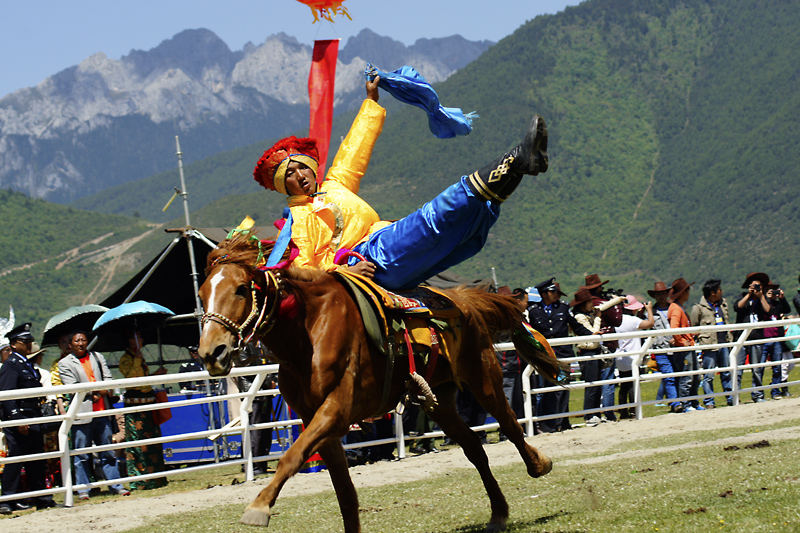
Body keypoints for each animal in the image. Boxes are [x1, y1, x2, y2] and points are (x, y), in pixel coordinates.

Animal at [197, 231, 563, 532]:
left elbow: (291, 458)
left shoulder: (336, 410)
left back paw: (539, 464)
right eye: (202, 294)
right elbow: (342, 489)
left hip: (483, 375)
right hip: (440, 401)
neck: (308, 332)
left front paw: (258, 507)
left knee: (511, 425)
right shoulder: (316, 418)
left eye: (241, 289)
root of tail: (461, 299)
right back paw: (498, 513)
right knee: (474, 447)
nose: (211, 352)